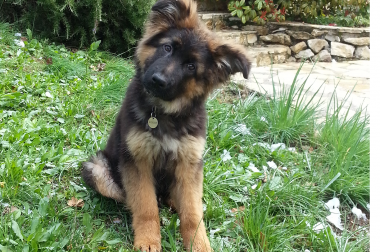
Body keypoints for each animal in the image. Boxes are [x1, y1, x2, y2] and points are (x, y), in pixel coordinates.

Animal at [81, 0, 251, 250]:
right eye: (168, 48)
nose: (158, 81)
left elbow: (192, 214)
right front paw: (148, 240)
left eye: (191, 66)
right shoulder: (137, 160)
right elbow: (146, 206)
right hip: (98, 168)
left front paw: (199, 244)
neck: (164, 113)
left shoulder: (189, 163)